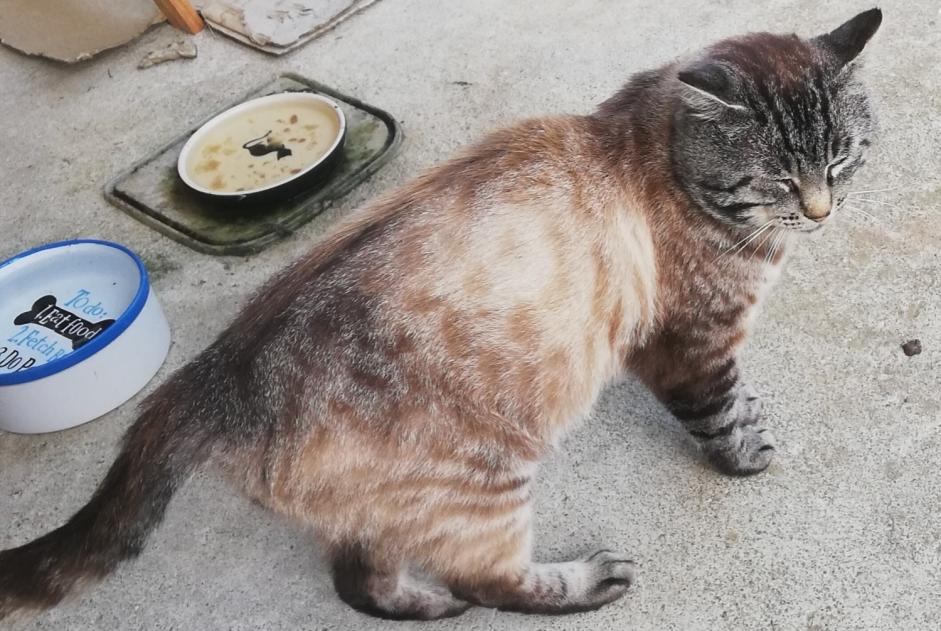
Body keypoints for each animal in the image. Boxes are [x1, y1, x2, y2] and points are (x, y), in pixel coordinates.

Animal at [0, 7, 880, 624]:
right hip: (481, 480)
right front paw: (748, 453)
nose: (822, 211)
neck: (662, 149)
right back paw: (578, 584)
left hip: (397, 502)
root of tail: (211, 377)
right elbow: (721, 412)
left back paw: (424, 606)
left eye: (841, 159)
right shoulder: (690, 344)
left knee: (360, 578)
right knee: (485, 579)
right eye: (777, 180)